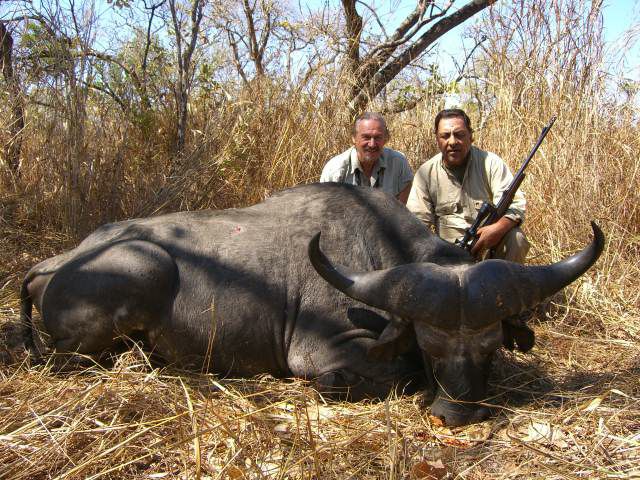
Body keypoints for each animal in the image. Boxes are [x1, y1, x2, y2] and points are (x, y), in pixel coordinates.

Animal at [20, 184, 603, 426]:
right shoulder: (325, 356)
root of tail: (61, 261)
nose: (456, 413)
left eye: (488, 347)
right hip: (144, 267)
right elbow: (392, 375)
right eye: (432, 347)